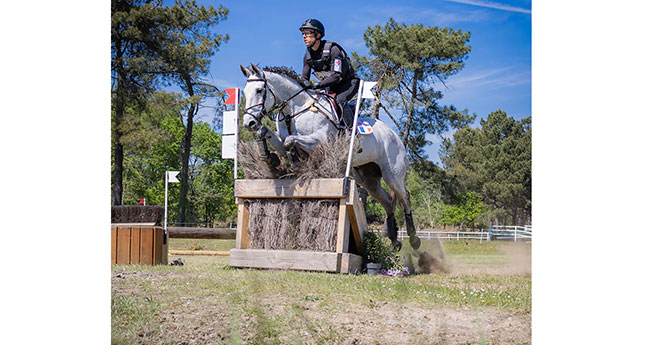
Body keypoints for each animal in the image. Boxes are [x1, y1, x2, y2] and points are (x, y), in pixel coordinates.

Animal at [240, 62, 420, 250]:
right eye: (244, 92)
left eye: (259, 90)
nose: (249, 123)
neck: (296, 109)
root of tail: (394, 135)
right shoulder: (281, 138)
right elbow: (270, 135)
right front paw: (270, 156)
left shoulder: (320, 140)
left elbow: (291, 140)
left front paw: (294, 159)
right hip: (367, 178)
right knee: (387, 200)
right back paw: (393, 240)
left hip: (392, 174)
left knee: (404, 197)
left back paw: (414, 239)